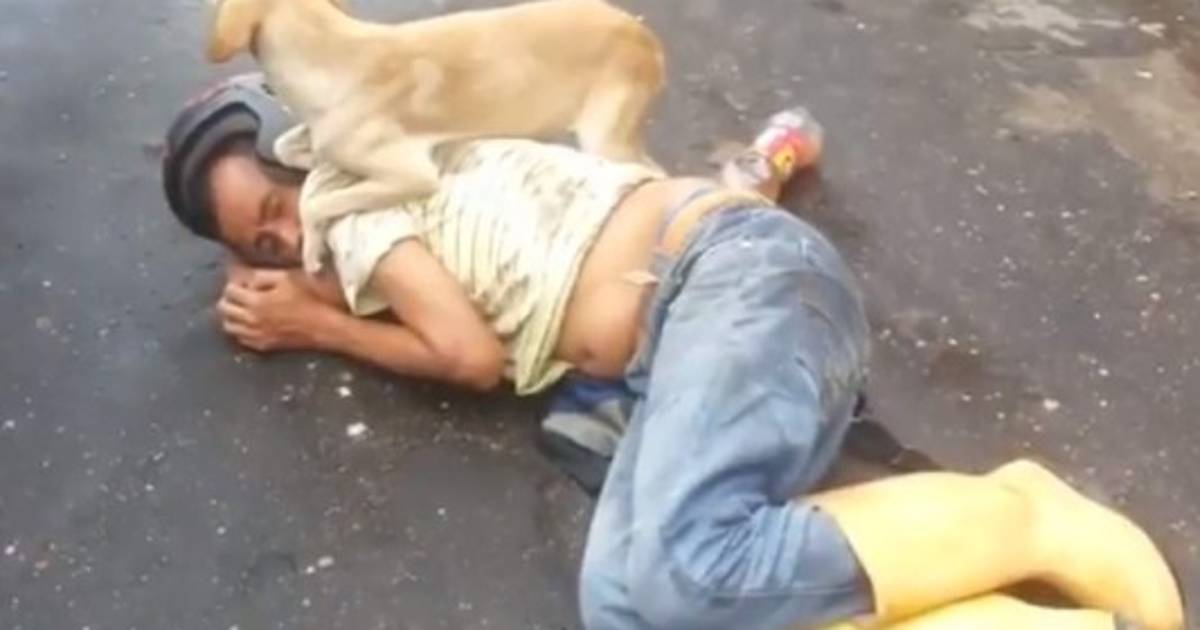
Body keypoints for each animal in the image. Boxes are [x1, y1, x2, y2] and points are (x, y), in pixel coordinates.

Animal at [206, 0, 665, 271]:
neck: (331, 56)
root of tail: (645, 36)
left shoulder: (413, 175)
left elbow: (317, 204)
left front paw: (312, 248)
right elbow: (286, 147)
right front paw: (313, 161)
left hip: (603, 138)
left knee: (656, 177)